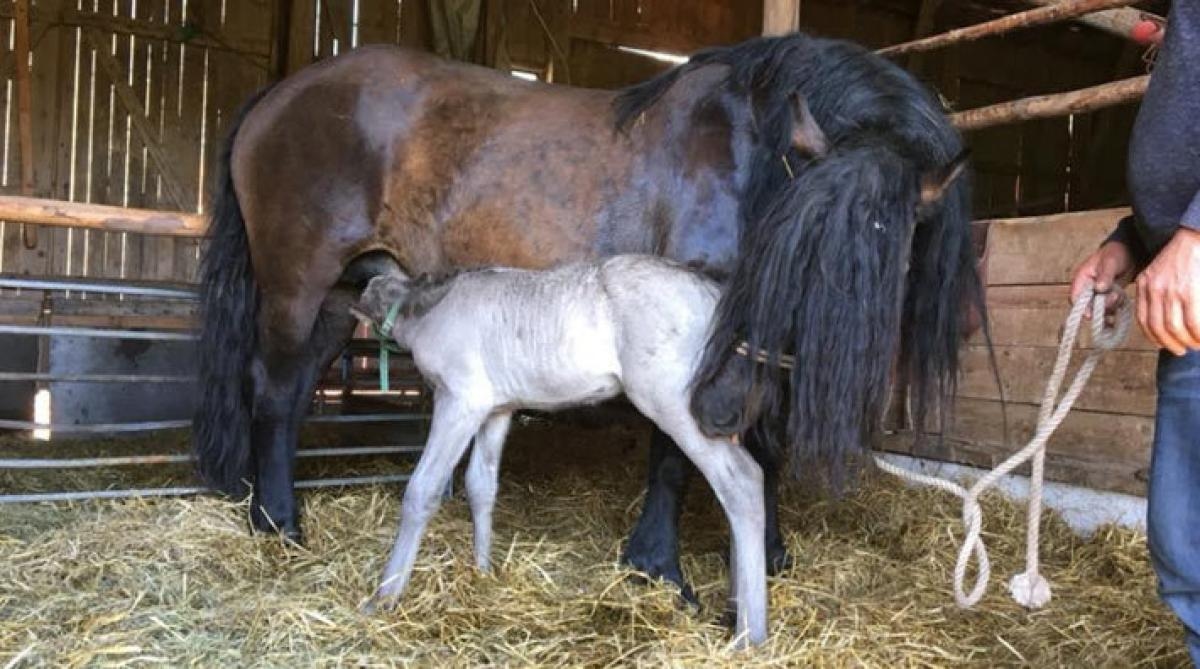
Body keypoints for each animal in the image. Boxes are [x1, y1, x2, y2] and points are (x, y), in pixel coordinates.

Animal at [196, 31, 979, 599]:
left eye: (891, 257)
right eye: (795, 246)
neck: (747, 150)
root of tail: (280, 93)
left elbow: (762, 446)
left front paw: (769, 552)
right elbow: (676, 459)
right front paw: (658, 568)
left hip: (341, 294)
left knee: (296, 392)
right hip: (298, 283)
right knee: (274, 392)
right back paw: (278, 523)